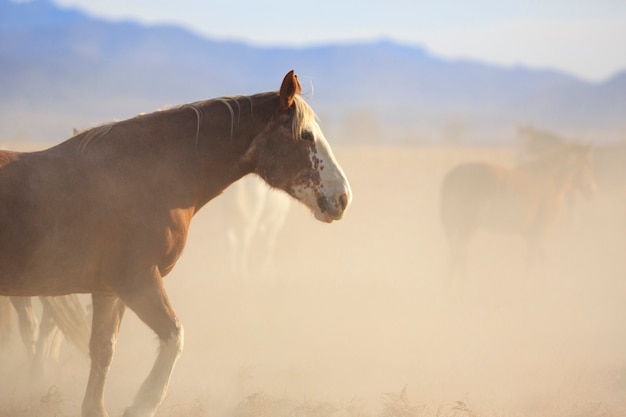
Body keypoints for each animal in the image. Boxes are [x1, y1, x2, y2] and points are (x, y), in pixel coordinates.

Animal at [0, 71, 352, 416]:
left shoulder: (108, 291)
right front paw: (142, 403)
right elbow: (174, 337)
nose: (343, 197)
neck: (149, 176)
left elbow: (102, 352)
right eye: (306, 135)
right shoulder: (137, 281)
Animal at [438, 141, 596, 282]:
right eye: (588, 165)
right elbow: (532, 264)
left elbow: (539, 261)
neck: (549, 180)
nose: (593, 191)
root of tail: (452, 176)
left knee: (458, 257)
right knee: (458, 256)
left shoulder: (532, 236)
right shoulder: (538, 234)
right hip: (466, 227)